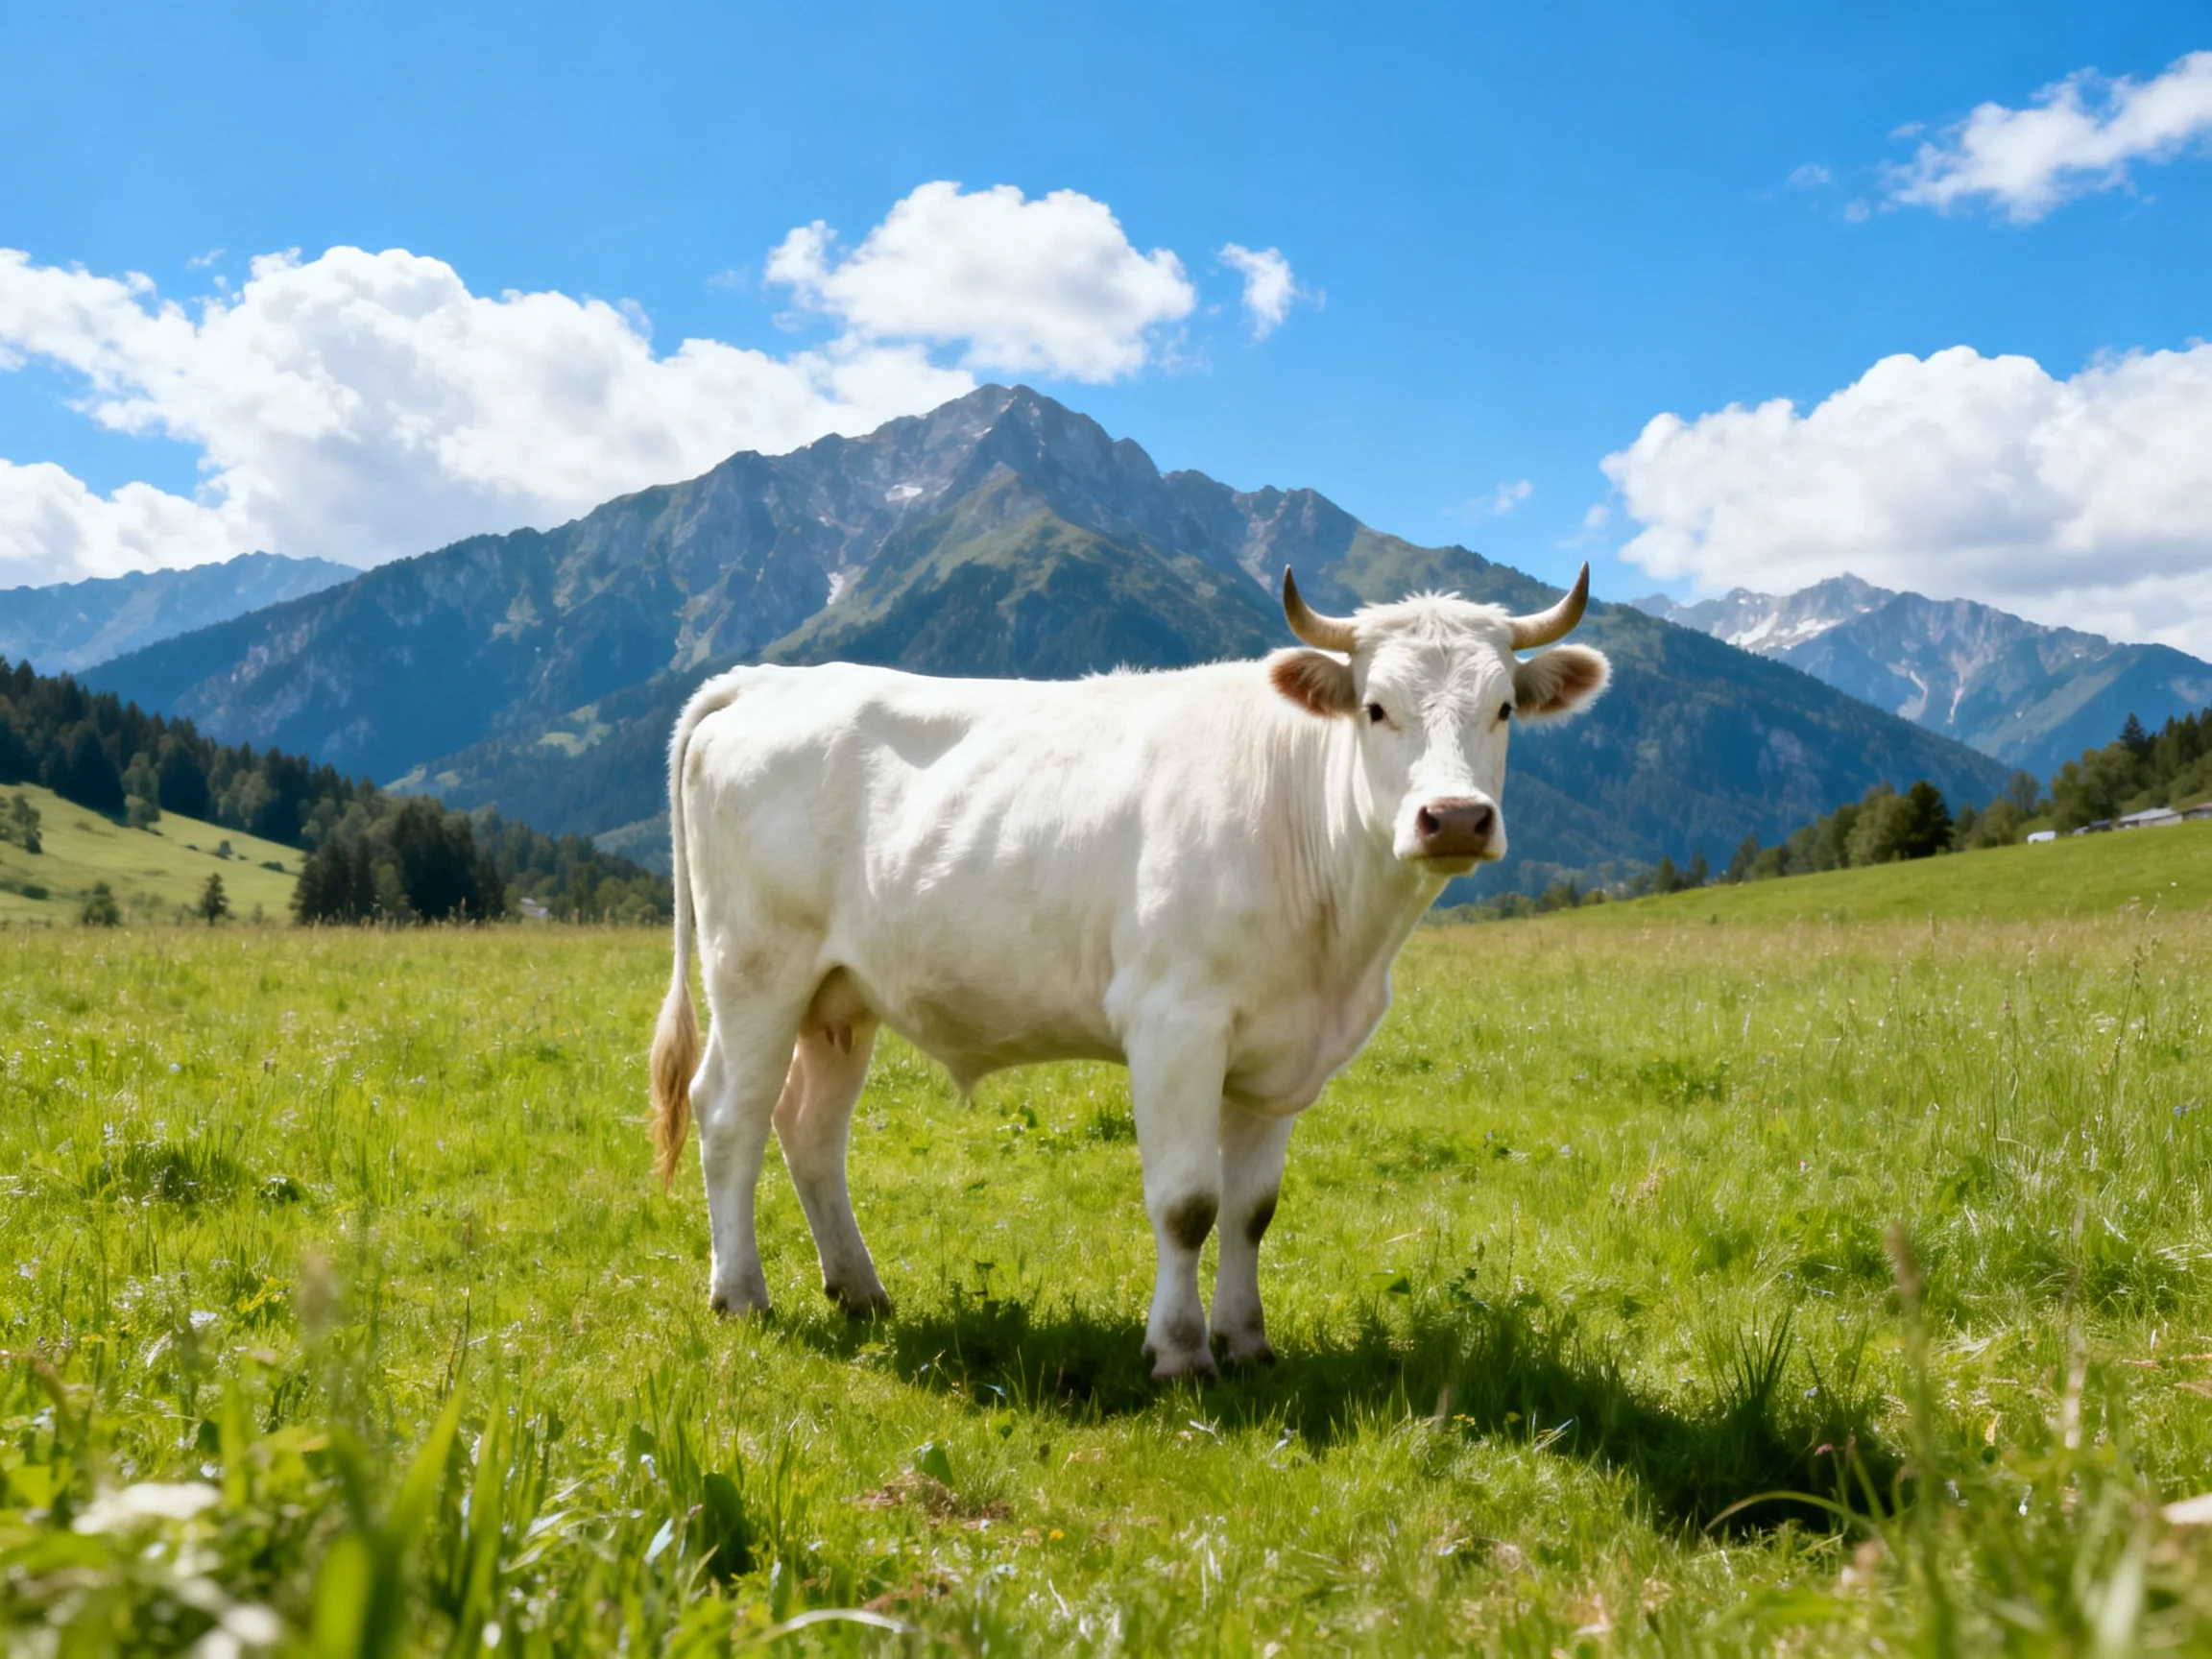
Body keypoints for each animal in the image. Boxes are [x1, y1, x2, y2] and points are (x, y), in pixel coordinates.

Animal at [648, 566, 1609, 1378]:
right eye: (1375, 708)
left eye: (1504, 709)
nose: (1454, 818)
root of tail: (768, 679)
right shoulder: (1173, 1023)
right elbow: (1188, 1203)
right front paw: (1180, 1354)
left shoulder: (1280, 1050)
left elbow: (1252, 1209)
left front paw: (1248, 1344)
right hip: (756, 966)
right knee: (729, 1113)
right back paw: (742, 1295)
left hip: (840, 997)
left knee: (810, 1130)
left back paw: (860, 1290)